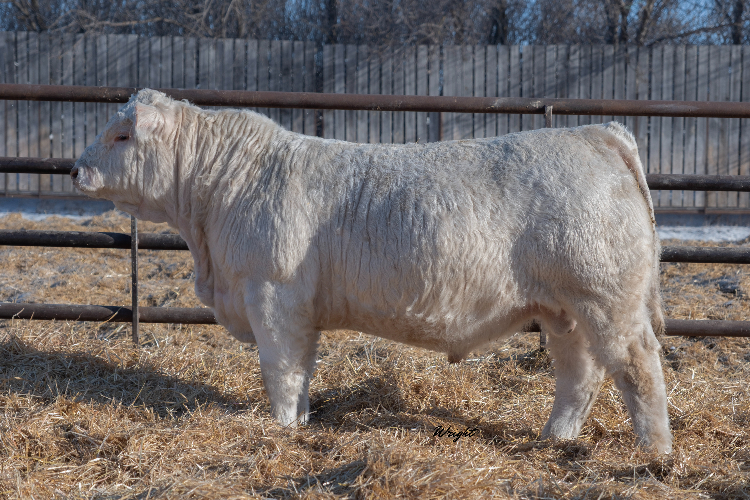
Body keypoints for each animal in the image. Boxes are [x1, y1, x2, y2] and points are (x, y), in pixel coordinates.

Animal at [72, 89, 672, 453]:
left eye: (122, 135)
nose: (75, 169)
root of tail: (596, 133)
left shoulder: (272, 295)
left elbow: (279, 370)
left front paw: (281, 427)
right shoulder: (298, 311)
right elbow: (301, 371)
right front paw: (302, 423)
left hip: (605, 297)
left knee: (638, 365)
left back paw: (654, 453)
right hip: (563, 308)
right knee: (579, 373)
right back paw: (555, 439)